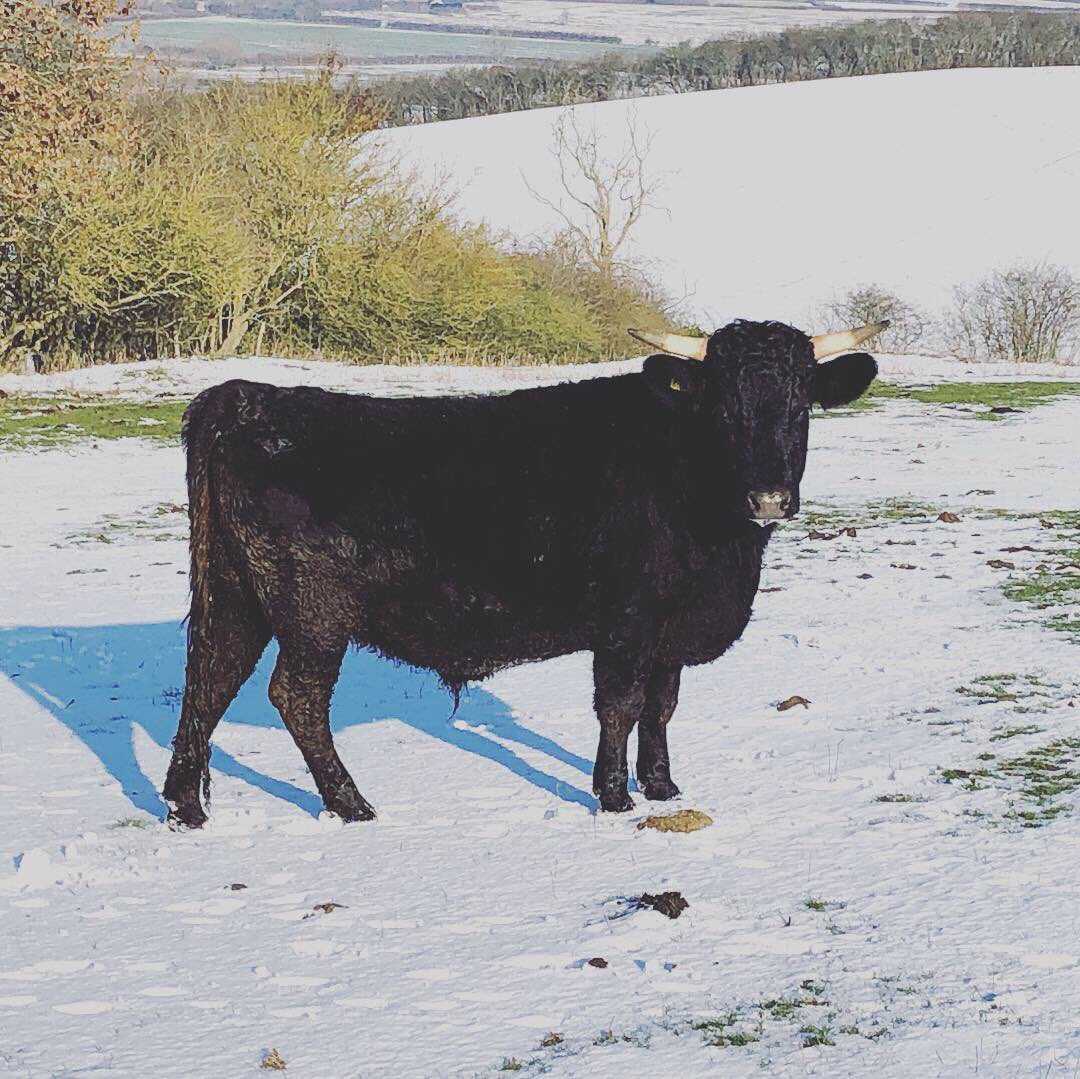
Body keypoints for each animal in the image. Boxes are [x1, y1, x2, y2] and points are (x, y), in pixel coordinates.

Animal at [162, 318, 884, 828]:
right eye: (724, 409)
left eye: (800, 407)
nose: (769, 498)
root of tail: (246, 399)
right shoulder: (627, 623)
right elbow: (621, 706)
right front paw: (614, 797)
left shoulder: (669, 629)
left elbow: (663, 705)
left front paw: (662, 786)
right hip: (312, 612)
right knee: (296, 697)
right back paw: (351, 804)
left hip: (236, 593)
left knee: (210, 679)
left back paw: (185, 808)